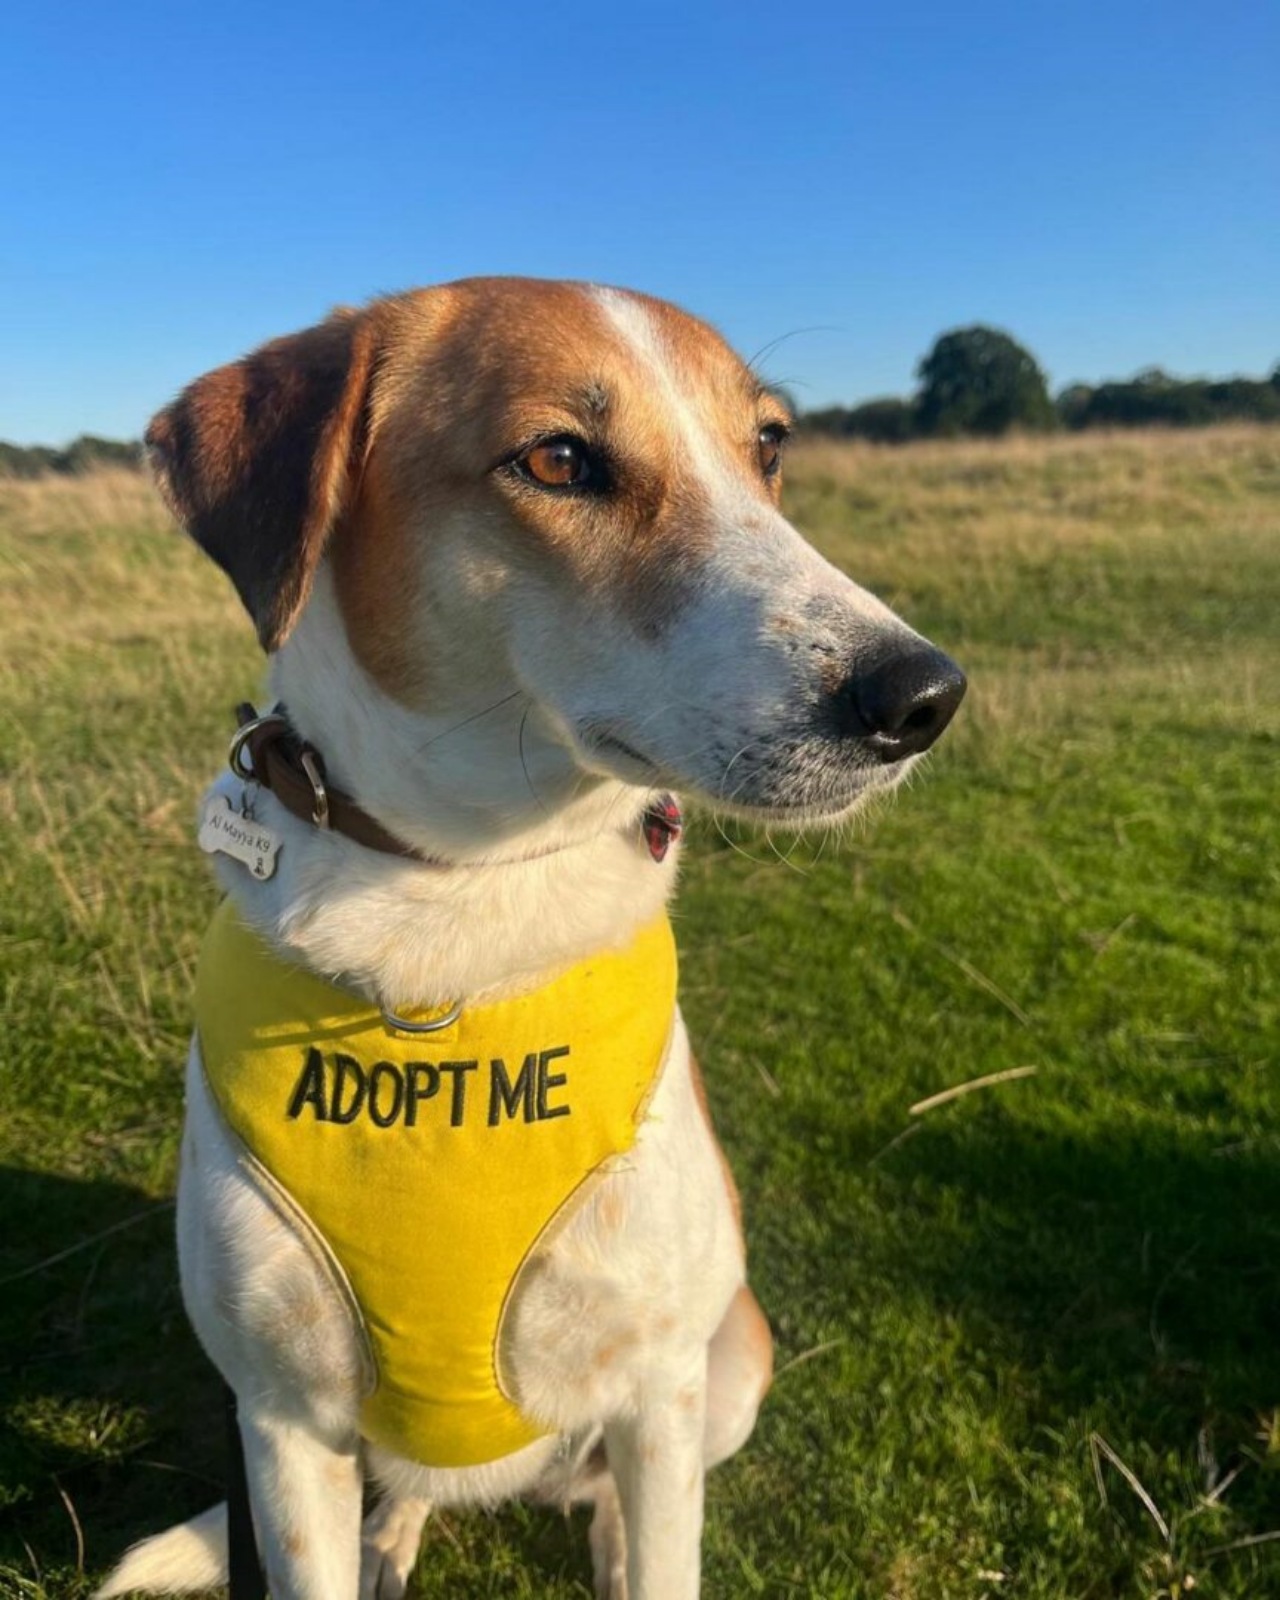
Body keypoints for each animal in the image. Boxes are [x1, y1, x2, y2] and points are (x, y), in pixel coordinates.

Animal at [97, 281, 960, 1600]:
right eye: (556, 459)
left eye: (766, 447)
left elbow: (663, 1545)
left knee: (598, 1488)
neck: (461, 901)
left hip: (732, 1363)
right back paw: (395, 1536)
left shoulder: (658, 1388)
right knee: (406, 1490)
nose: (922, 696)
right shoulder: (281, 1422)